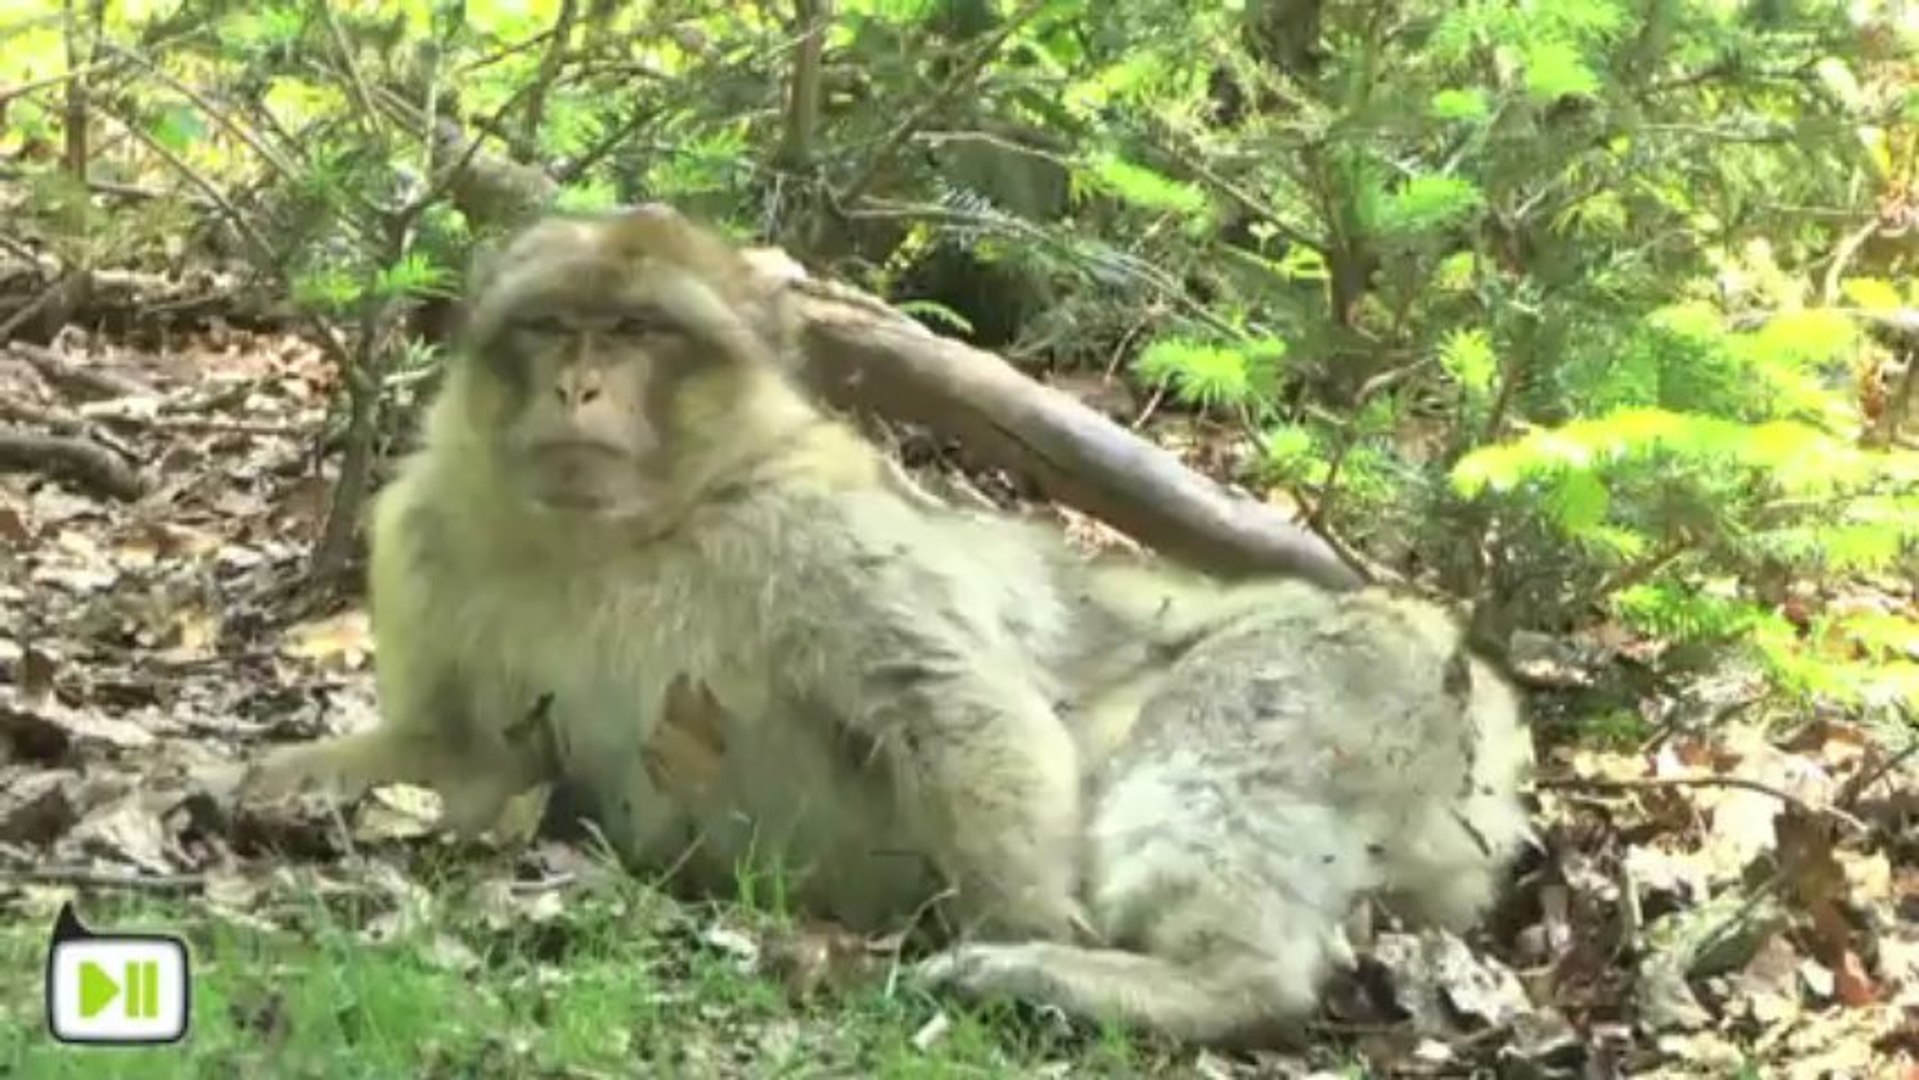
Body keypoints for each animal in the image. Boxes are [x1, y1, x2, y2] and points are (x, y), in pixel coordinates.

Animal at [240, 204, 1099, 942]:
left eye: (636, 329)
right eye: (549, 326)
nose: (576, 387)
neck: (613, 540)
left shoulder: (816, 521)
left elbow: (949, 702)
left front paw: (1024, 922)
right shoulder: (424, 533)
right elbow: (461, 756)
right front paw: (261, 786)